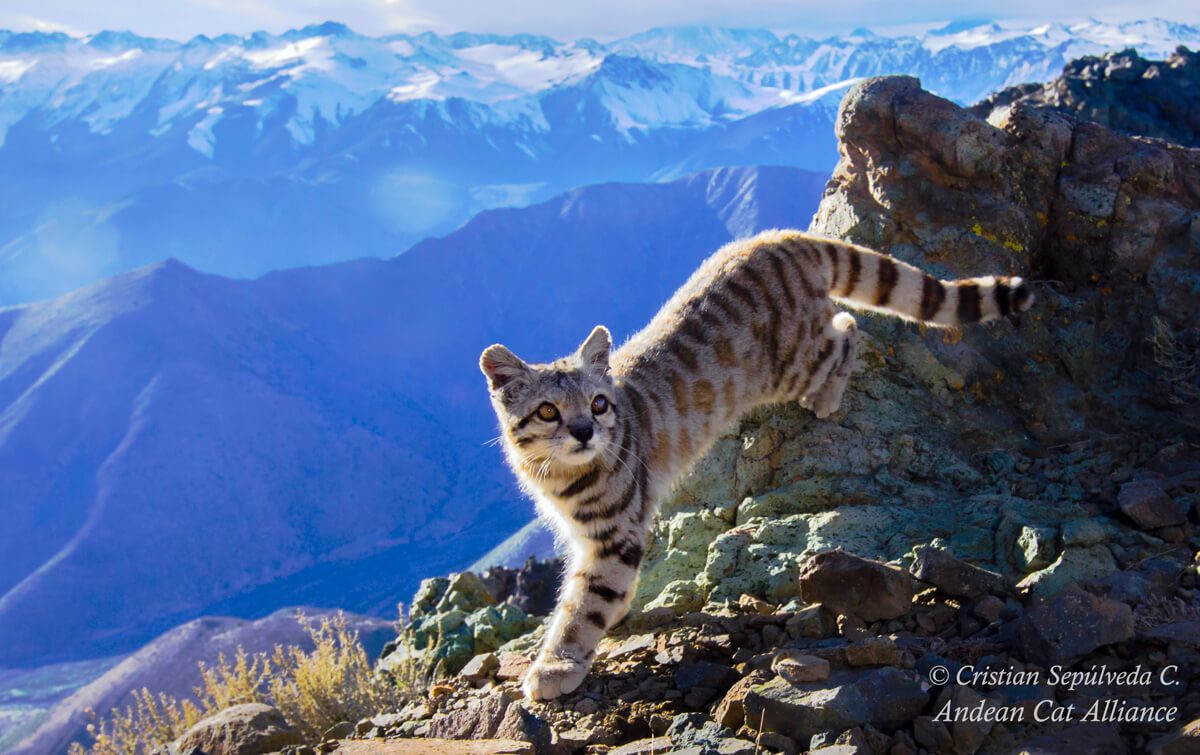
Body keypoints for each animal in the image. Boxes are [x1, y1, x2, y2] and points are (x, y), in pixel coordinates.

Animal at [477, 229, 1032, 700]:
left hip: (791, 361)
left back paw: (826, 397)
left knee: (847, 330)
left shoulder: (613, 537)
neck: (559, 482)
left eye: (597, 403)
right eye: (548, 410)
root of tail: (783, 238)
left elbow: (584, 605)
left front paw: (555, 666)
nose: (584, 431)